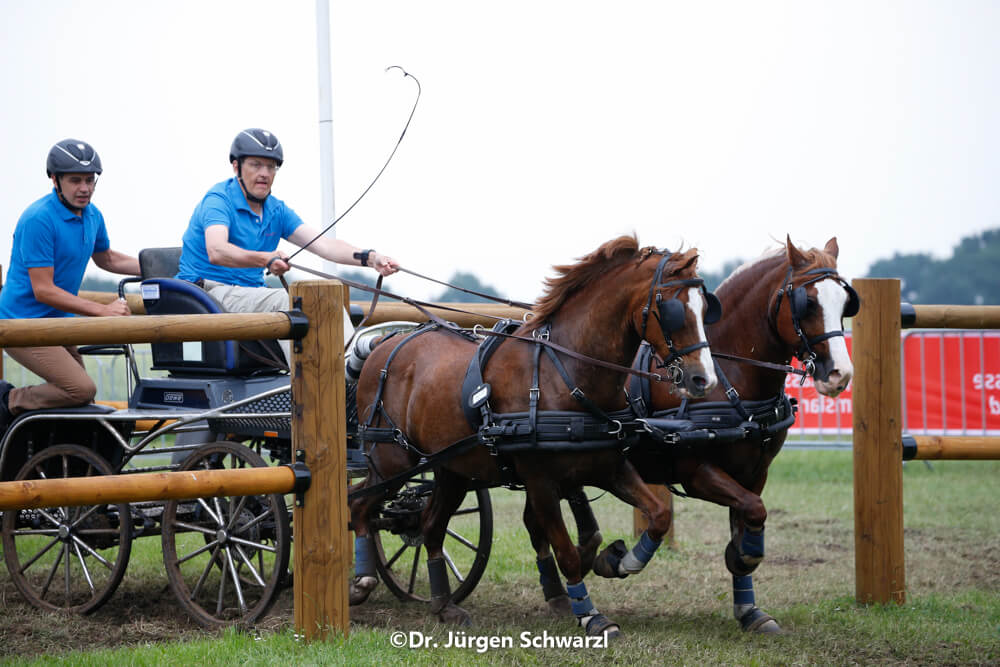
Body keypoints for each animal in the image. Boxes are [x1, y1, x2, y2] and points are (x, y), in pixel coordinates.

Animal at [349, 235, 720, 637]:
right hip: (390, 461)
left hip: (452, 470)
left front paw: (619, 561)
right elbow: (565, 550)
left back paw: (444, 604)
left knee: (430, 526)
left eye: (706, 308)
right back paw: (361, 582)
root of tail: (384, 346)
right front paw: (590, 613)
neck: (565, 373)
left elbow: (657, 514)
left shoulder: (608, 466)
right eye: (673, 310)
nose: (703, 379)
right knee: (360, 506)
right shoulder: (541, 481)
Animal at [531, 236, 857, 634]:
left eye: (844, 303)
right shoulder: (696, 473)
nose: (840, 374)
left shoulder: (755, 473)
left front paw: (749, 607)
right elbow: (752, 511)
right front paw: (618, 561)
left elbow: (750, 518)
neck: (730, 376)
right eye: (807, 303)